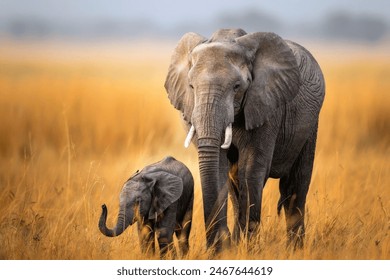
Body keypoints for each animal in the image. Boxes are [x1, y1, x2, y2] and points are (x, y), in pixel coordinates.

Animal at [163, 29, 324, 252]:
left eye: (237, 87)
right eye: (191, 86)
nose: (215, 242)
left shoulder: (266, 108)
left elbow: (251, 169)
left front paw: (243, 247)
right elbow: (220, 168)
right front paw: (222, 249)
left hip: (311, 123)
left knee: (295, 186)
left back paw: (295, 250)